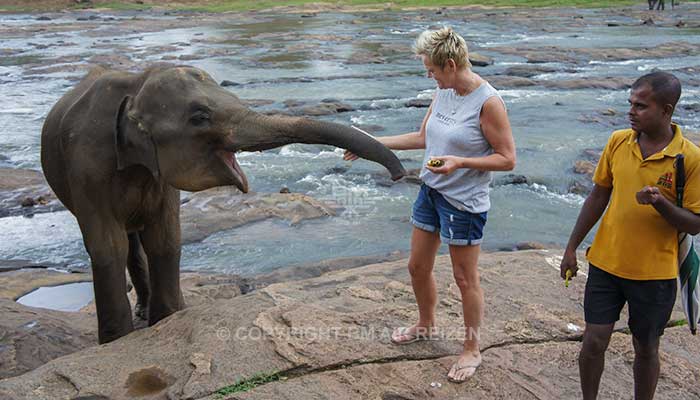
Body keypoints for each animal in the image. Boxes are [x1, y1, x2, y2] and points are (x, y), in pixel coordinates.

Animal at [42, 64, 404, 342]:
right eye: (200, 117)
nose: (399, 174)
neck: (135, 85)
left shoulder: (160, 179)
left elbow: (166, 239)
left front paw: (167, 320)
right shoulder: (87, 170)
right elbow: (107, 247)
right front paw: (117, 340)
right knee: (126, 243)